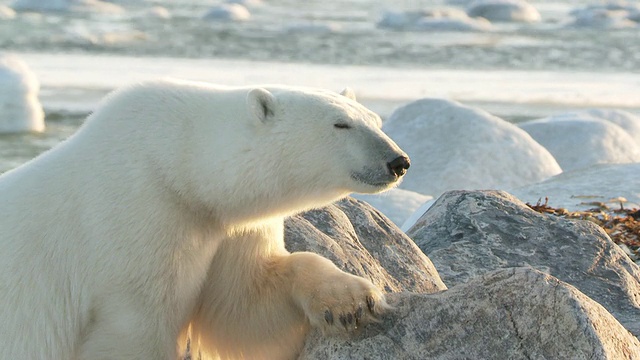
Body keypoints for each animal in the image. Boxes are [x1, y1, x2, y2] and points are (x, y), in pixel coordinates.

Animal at [0, 79, 410, 360]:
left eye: (375, 120)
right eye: (341, 125)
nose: (399, 161)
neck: (175, 166)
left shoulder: (225, 226)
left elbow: (245, 308)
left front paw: (352, 301)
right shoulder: (141, 216)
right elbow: (138, 327)